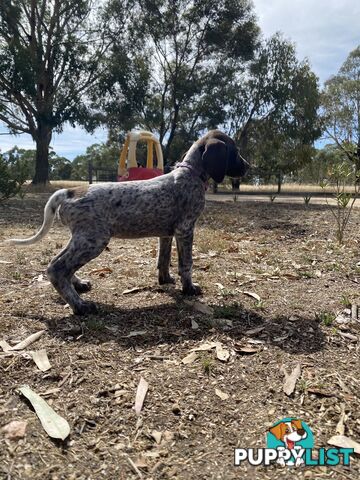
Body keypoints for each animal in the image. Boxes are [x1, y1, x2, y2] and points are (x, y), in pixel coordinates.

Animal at [9, 130, 250, 316]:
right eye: (235, 151)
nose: (248, 166)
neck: (190, 174)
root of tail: (69, 192)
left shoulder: (167, 233)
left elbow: (164, 260)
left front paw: (165, 280)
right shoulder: (185, 230)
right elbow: (186, 264)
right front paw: (189, 288)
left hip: (82, 238)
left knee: (59, 263)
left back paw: (78, 285)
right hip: (94, 240)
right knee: (56, 268)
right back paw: (80, 306)